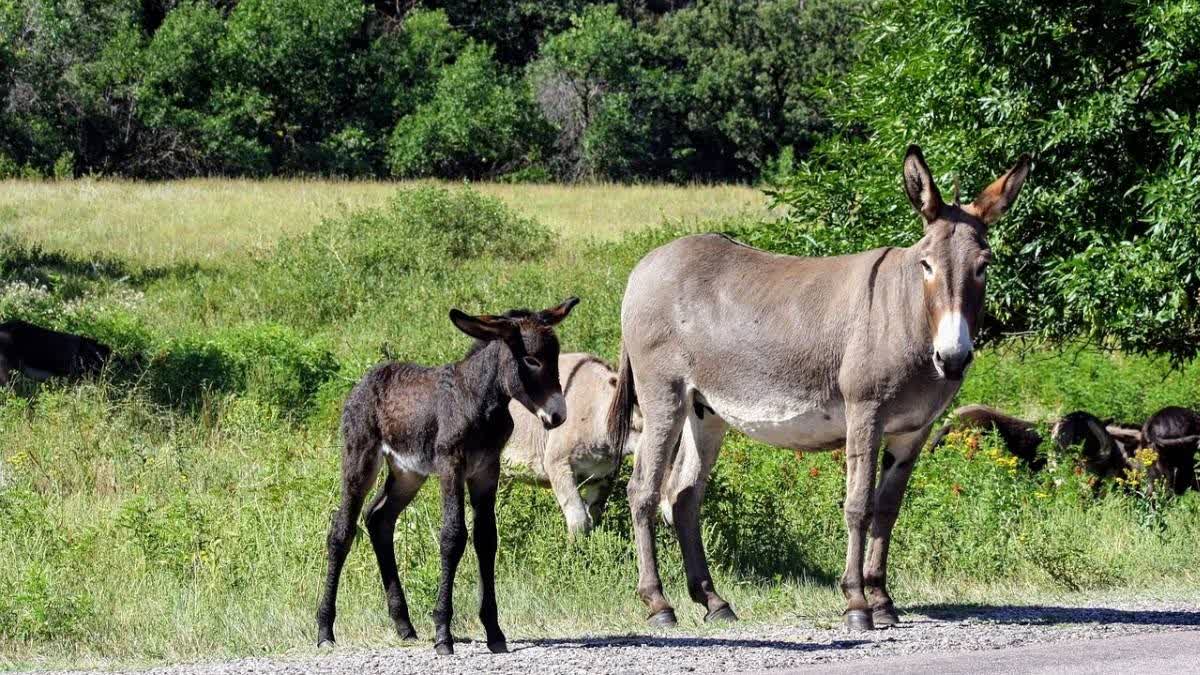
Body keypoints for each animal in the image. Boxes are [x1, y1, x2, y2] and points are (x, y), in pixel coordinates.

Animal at [316, 295, 578, 653]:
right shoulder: (451, 465)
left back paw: (404, 625)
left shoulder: (487, 470)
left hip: (407, 472)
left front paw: (494, 632)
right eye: (531, 359)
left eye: (554, 357)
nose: (558, 416)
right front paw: (443, 632)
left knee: (379, 518)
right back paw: (325, 630)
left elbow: (486, 539)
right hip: (361, 457)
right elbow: (453, 537)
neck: (481, 400)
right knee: (342, 531)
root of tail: (369, 377)